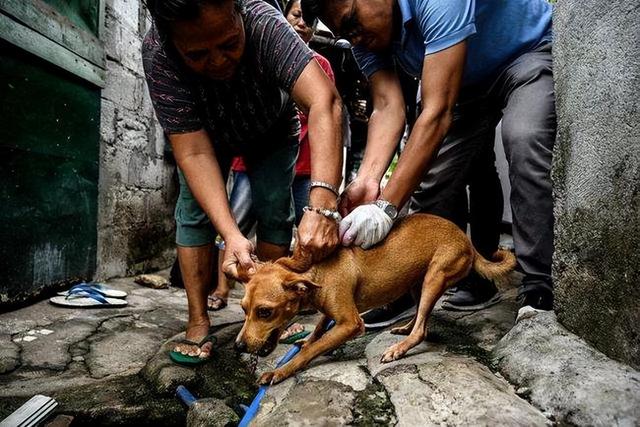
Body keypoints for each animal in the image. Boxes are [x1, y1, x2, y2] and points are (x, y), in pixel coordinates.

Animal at [232, 216, 516, 386]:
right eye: (244, 309)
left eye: (265, 312)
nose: (238, 346)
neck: (315, 270)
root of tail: (467, 240)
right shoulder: (332, 312)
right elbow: (319, 329)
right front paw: (308, 340)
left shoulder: (351, 323)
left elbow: (313, 350)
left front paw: (281, 371)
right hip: (417, 282)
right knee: (421, 315)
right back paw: (404, 328)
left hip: (435, 277)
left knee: (422, 329)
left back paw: (399, 348)